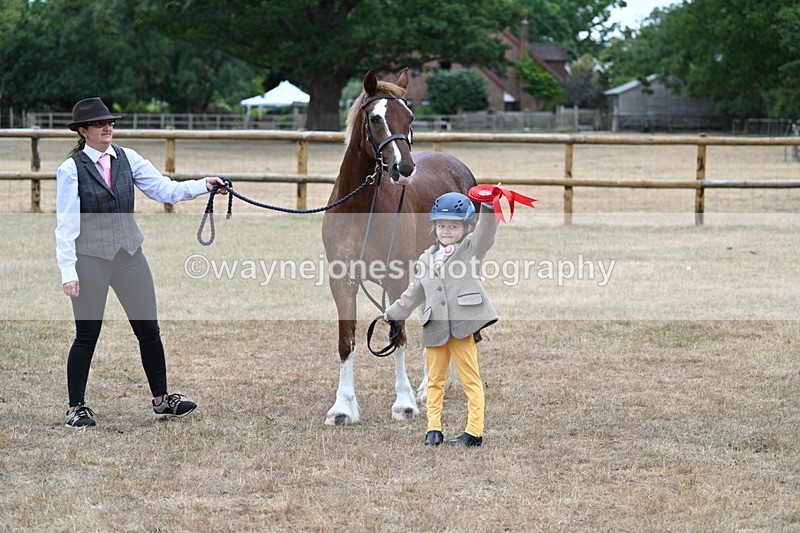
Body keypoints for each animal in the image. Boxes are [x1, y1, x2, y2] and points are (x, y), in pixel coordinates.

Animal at [321, 68, 477, 425]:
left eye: (410, 117)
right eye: (376, 118)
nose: (403, 168)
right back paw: (428, 388)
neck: (361, 210)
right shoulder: (342, 282)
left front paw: (404, 403)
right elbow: (346, 342)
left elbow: (398, 336)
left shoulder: (395, 279)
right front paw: (343, 407)